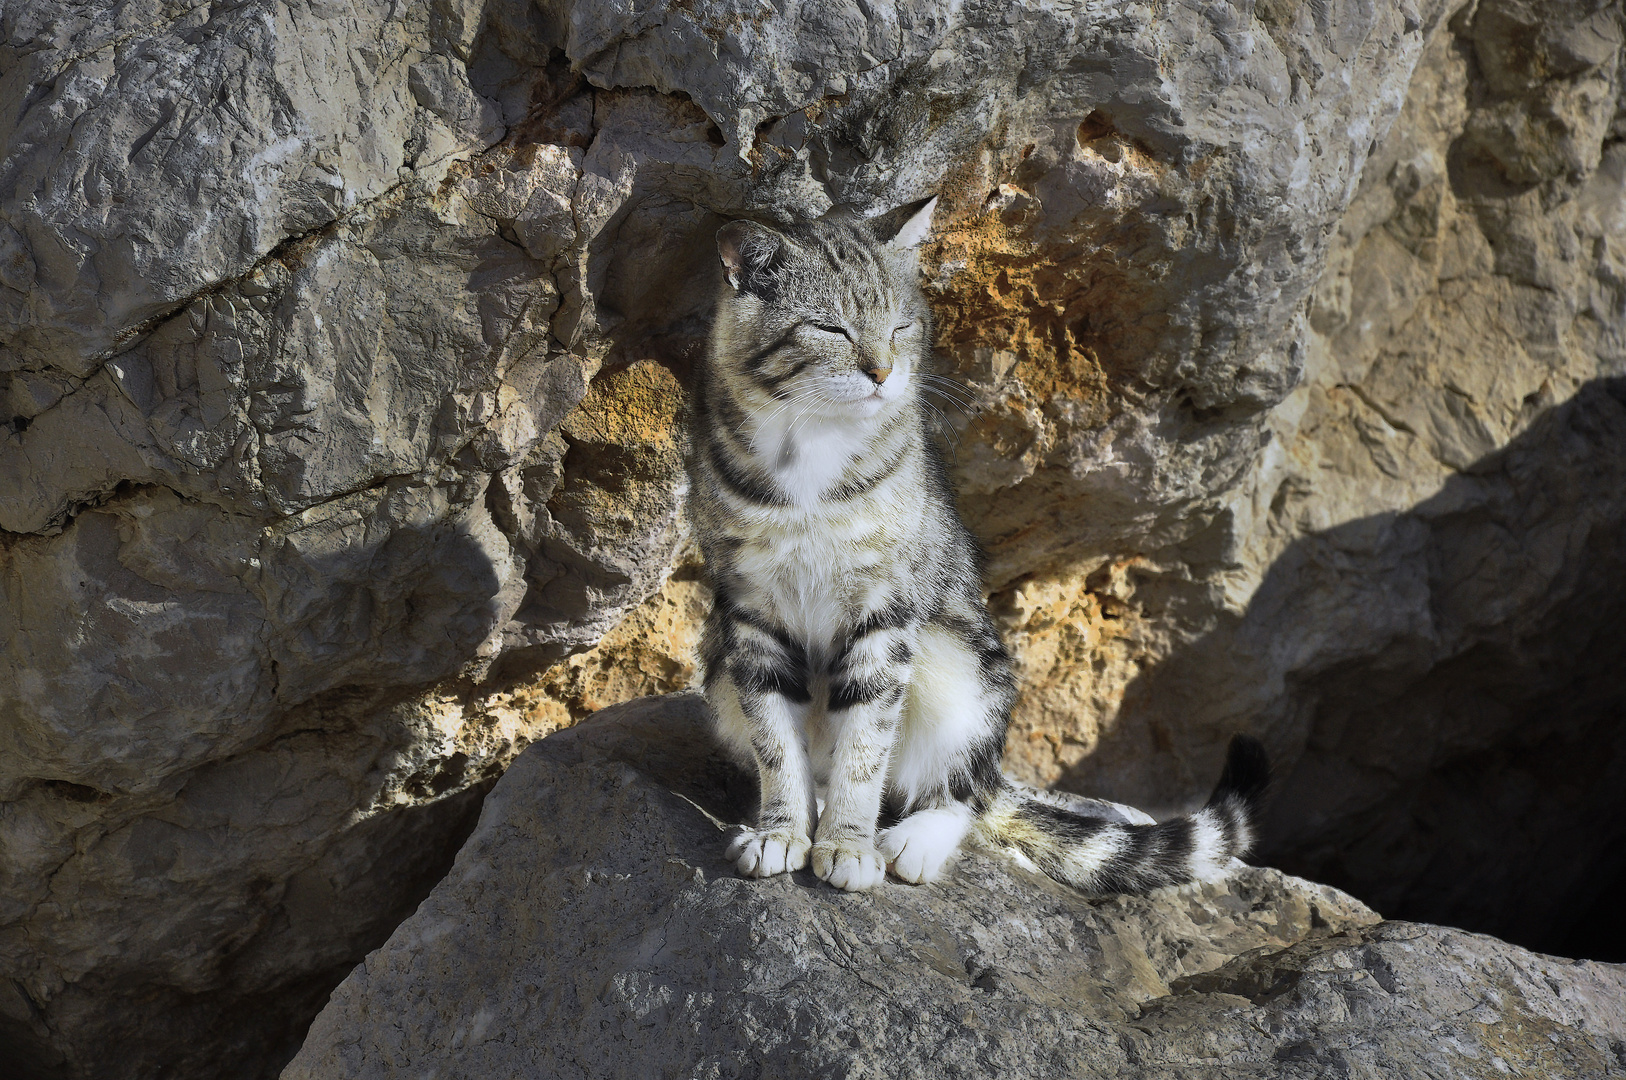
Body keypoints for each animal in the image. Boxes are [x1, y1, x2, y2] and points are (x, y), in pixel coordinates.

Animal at [686, 195, 1268, 891]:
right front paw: (781, 832)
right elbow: (777, 741)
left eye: (901, 326)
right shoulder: (749, 612)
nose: (882, 372)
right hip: (717, 666)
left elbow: (866, 749)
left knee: (964, 787)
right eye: (830, 329)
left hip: (961, 659)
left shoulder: (886, 611)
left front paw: (849, 845)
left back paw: (913, 838)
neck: (811, 454)